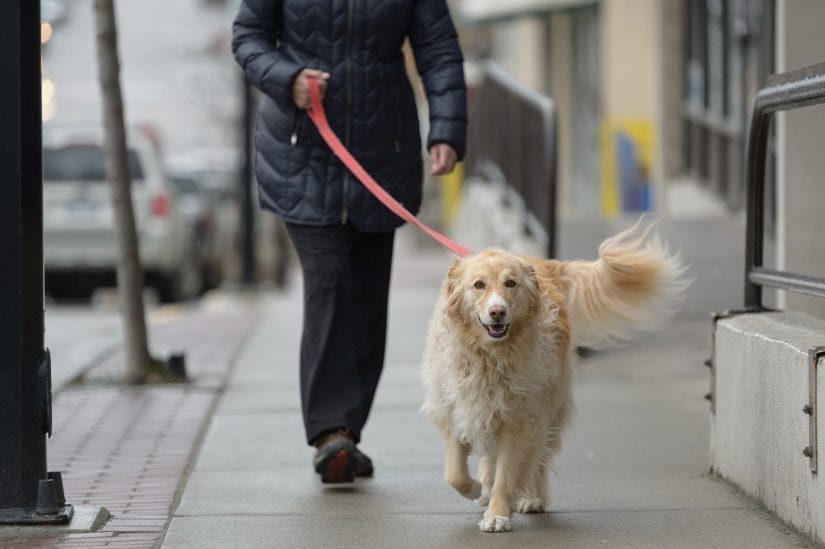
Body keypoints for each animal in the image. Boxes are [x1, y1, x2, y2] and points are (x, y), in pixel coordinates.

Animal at [418, 219, 684, 532]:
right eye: (479, 284)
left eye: (511, 283)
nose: (497, 312)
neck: (489, 357)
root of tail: (544, 264)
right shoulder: (454, 409)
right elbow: (455, 474)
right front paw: (476, 490)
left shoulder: (520, 419)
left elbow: (506, 474)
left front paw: (497, 513)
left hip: (549, 409)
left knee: (538, 459)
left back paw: (532, 497)